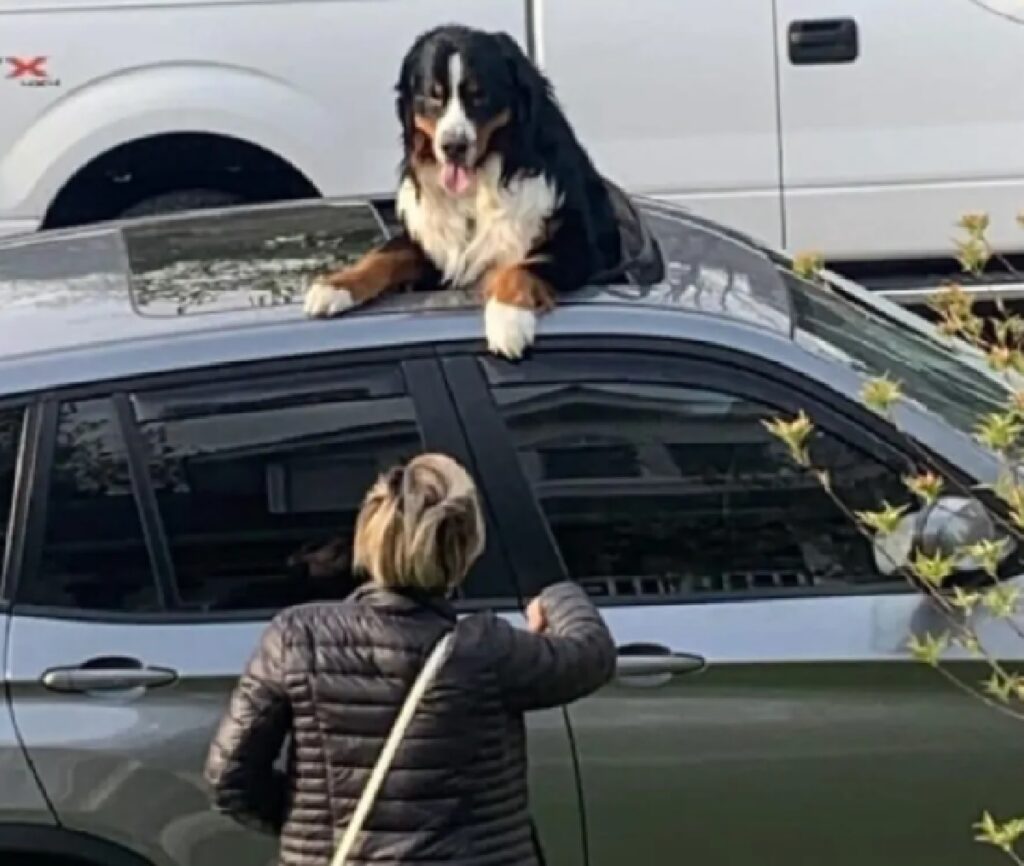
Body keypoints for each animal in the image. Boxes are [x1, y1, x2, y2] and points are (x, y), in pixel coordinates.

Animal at [303, 24, 618, 360]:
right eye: (433, 96)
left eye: (479, 96)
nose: (453, 146)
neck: (480, 185)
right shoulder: (430, 242)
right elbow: (384, 254)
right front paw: (334, 286)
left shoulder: (578, 246)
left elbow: (523, 266)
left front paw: (507, 319)